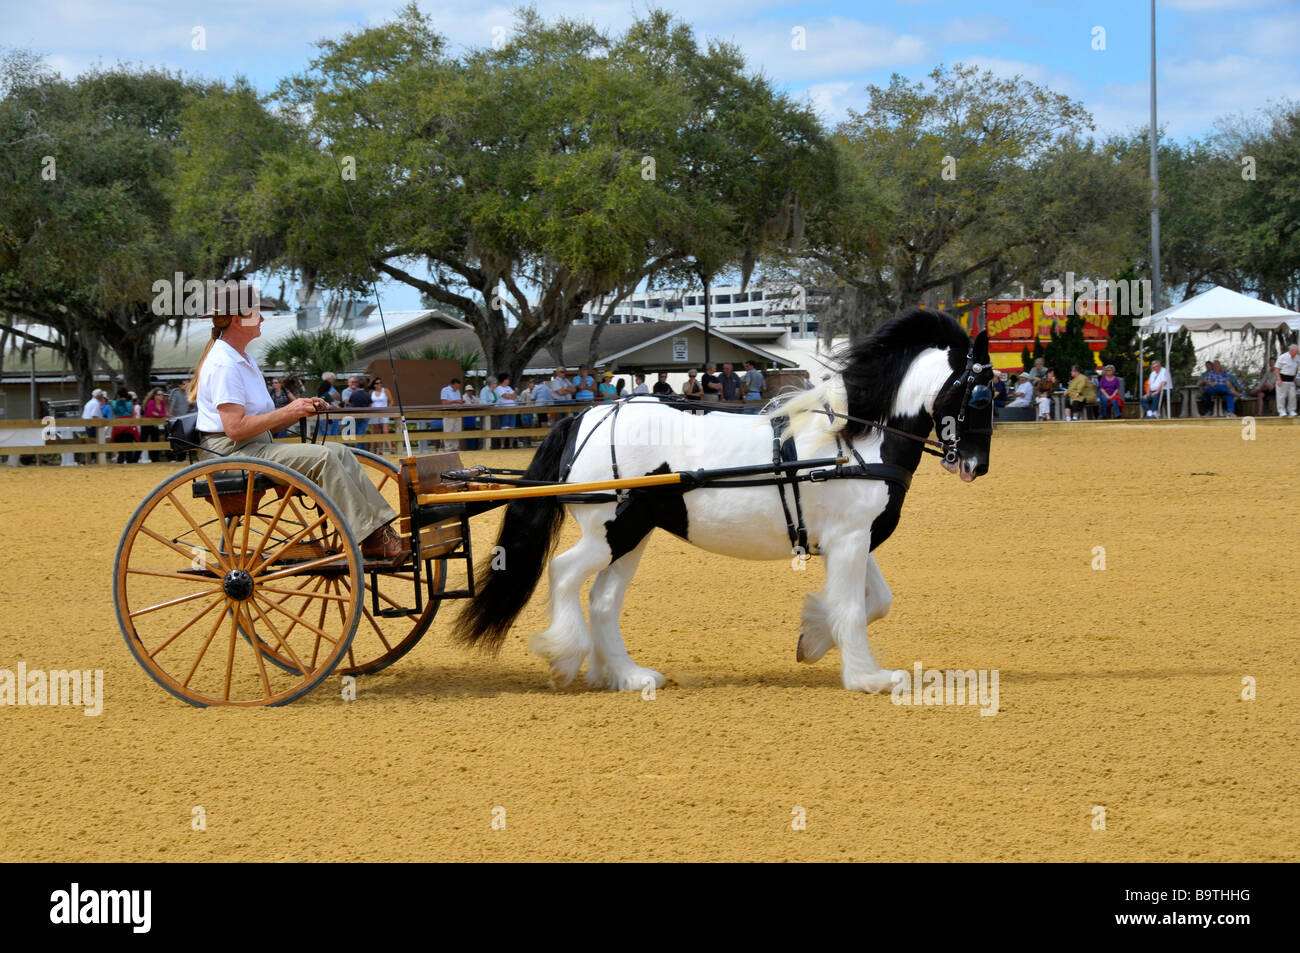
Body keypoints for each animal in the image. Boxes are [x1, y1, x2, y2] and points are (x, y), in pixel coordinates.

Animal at [452, 308, 994, 693]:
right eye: (980, 394)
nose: (976, 466)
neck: (853, 439)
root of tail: (589, 416)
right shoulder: (850, 540)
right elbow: (853, 608)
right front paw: (868, 677)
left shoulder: (848, 539)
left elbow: (876, 600)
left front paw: (812, 639)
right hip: (610, 529)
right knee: (564, 574)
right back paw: (566, 657)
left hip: (632, 534)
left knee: (603, 601)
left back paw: (628, 676)